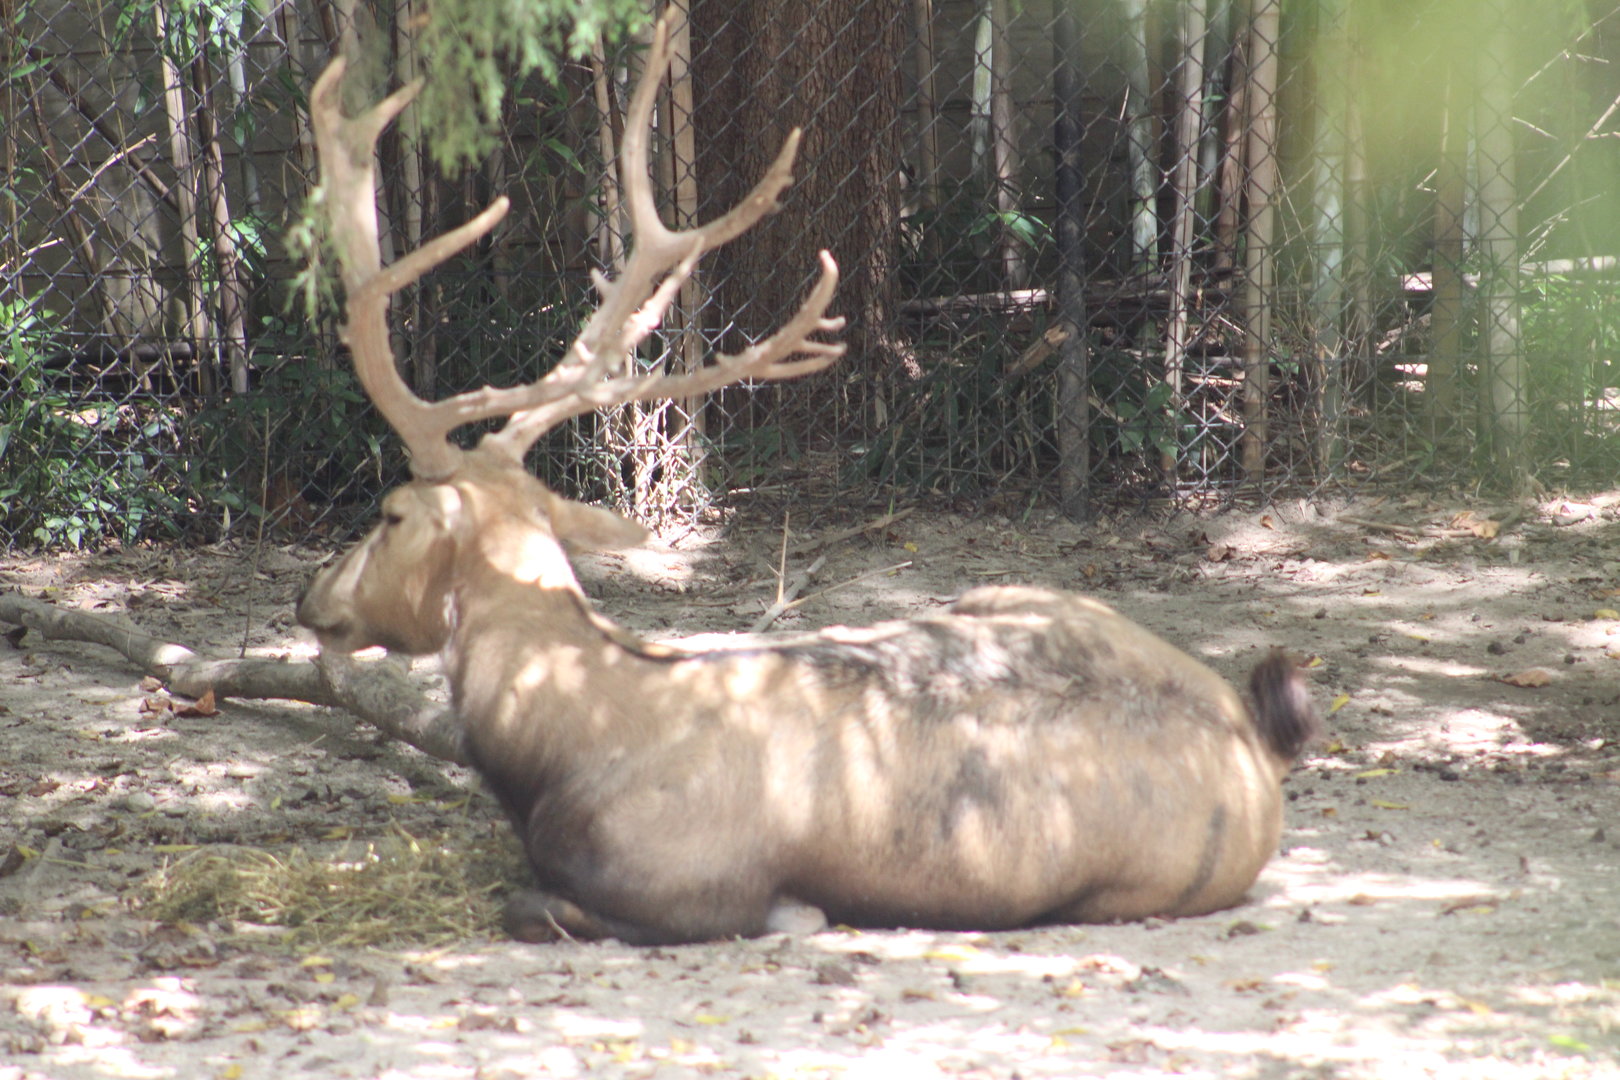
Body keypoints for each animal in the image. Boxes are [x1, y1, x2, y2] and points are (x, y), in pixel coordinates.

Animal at [297, 18, 1319, 946]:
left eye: (390, 513)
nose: (312, 597)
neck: (554, 747)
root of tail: (1254, 735)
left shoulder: (681, 888)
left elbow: (534, 905)